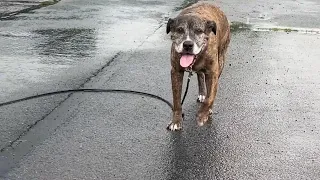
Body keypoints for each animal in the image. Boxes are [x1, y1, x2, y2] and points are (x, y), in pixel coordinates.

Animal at [165, 1, 230, 131]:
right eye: (180, 30)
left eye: (199, 31)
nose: (187, 44)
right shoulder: (176, 72)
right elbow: (176, 100)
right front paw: (176, 121)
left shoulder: (213, 73)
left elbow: (210, 97)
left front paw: (202, 115)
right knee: (200, 75)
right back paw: (202, 93)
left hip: (221, 60)